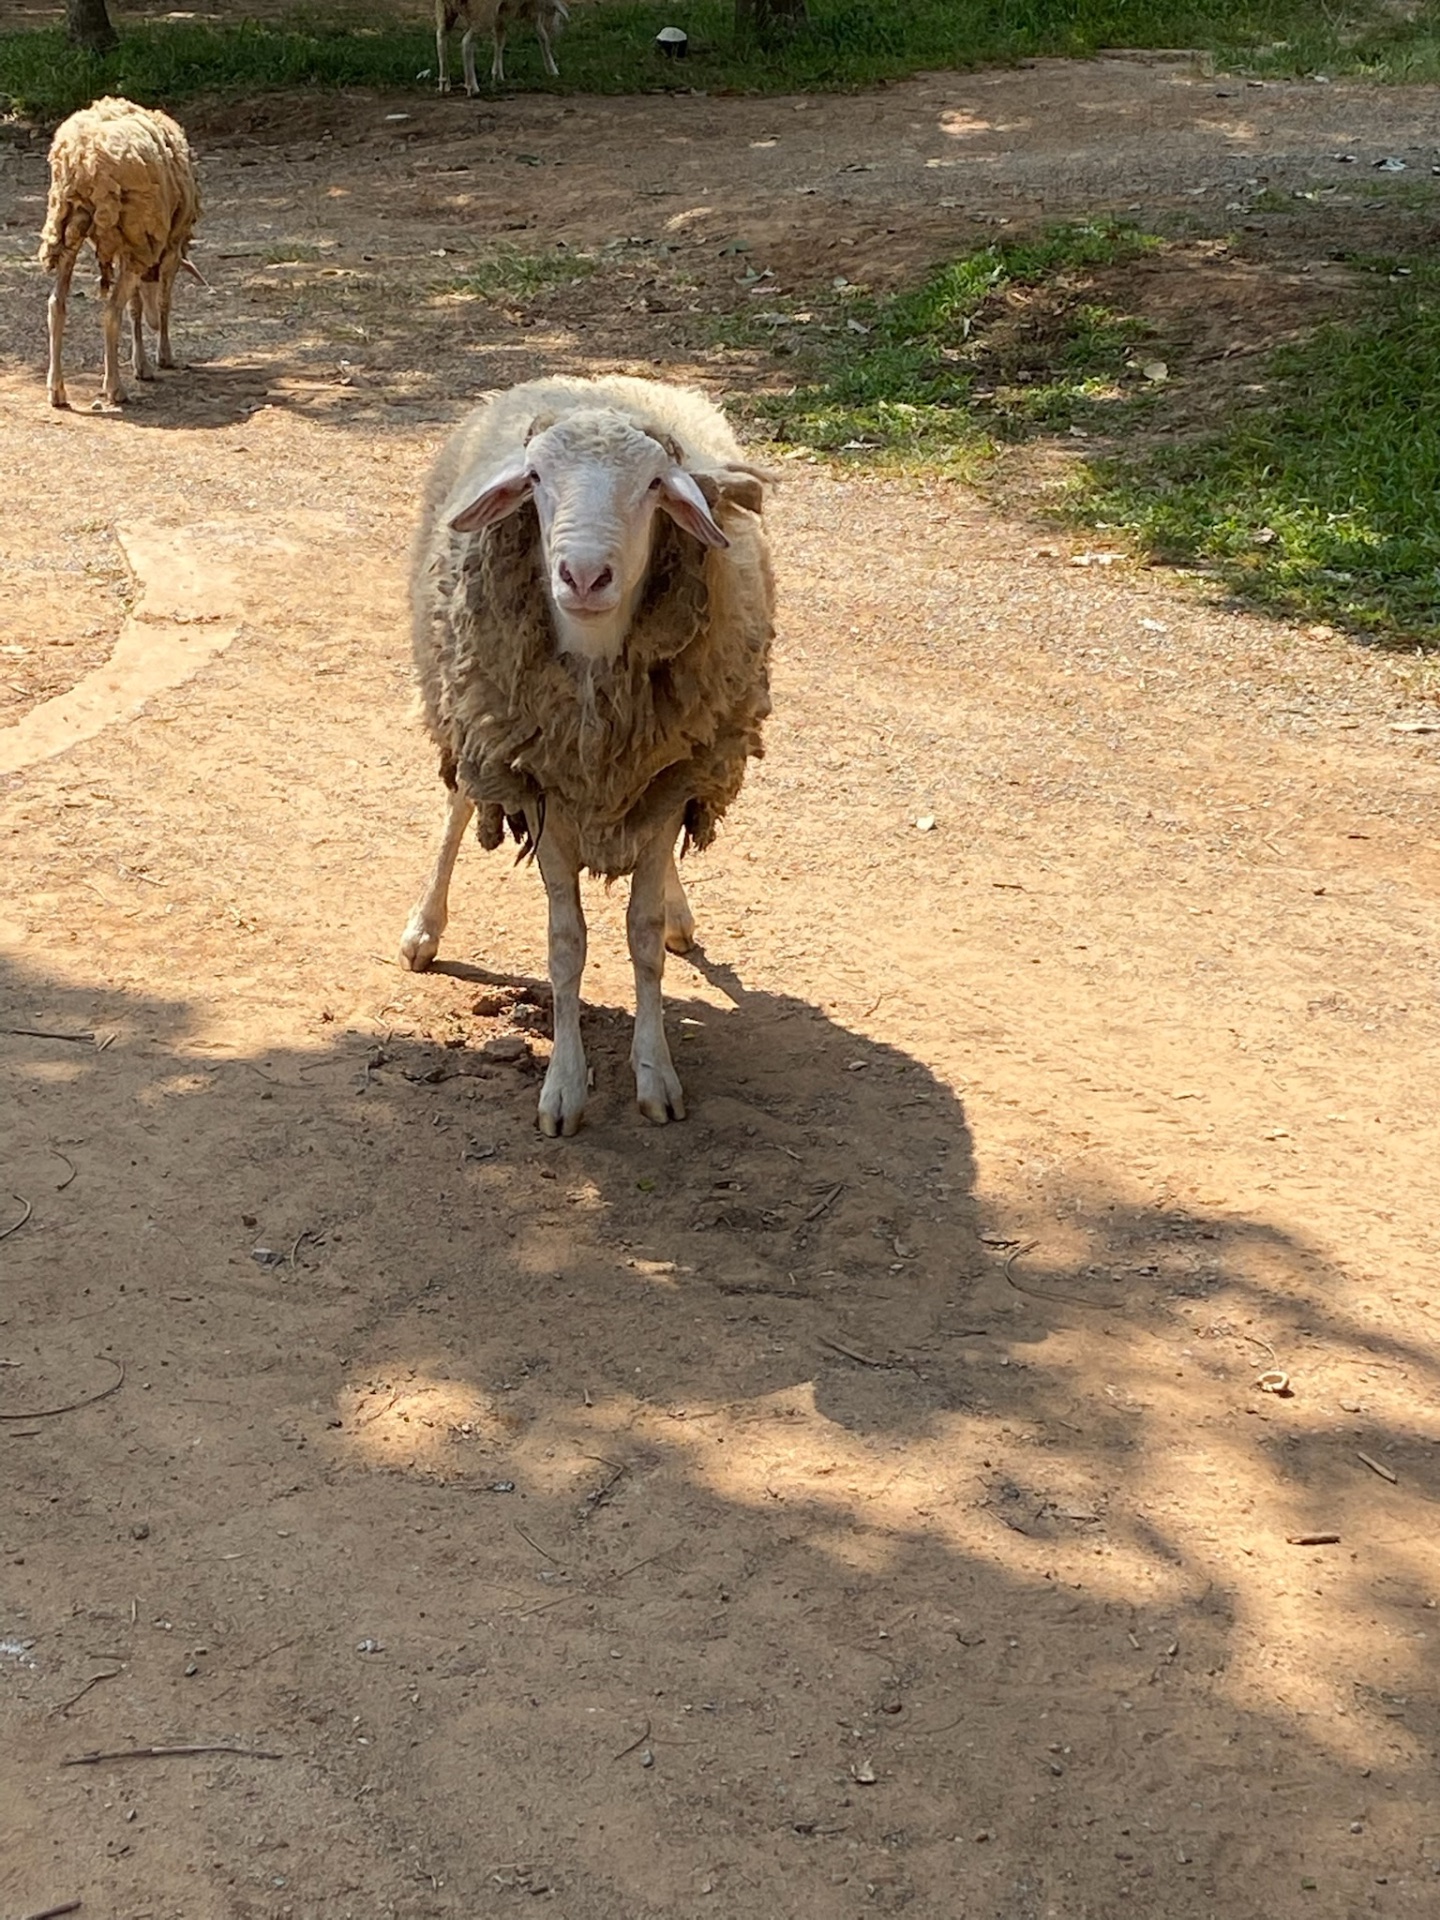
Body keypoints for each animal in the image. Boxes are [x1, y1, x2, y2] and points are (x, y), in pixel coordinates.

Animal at [39, 95, 201, 412]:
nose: (153, 323)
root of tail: (82, 157)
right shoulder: (163, 249)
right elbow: (162, 302)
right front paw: (163, 355)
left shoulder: (134, 248)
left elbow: (135, 306)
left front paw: (142, 364)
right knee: (111, 310)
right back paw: (114, 387)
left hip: (68, 225)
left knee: (56, 304)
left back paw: (56, 389)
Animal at [400, 374, 775, 1136]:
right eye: (537, 479)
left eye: (656, 485)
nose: (582, 574)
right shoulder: (539, 790)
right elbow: (566, 945)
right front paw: (565, 1088)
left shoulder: (666, 784)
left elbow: (642, 933)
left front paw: (656, 1074)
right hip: (474, 719)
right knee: (458, 810)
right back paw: (424, 927)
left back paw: (681, 914)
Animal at [435, 0, 568, 93]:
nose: (559, 30)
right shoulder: (533, 10)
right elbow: (543, 37)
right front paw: (553, 71)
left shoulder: (500, 13)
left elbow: (499, 41)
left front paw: (497, 75)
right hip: (483, 13)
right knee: (466, 42)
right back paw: (472, 86)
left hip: (445, 9)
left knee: (441, 38)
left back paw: (444, 82)